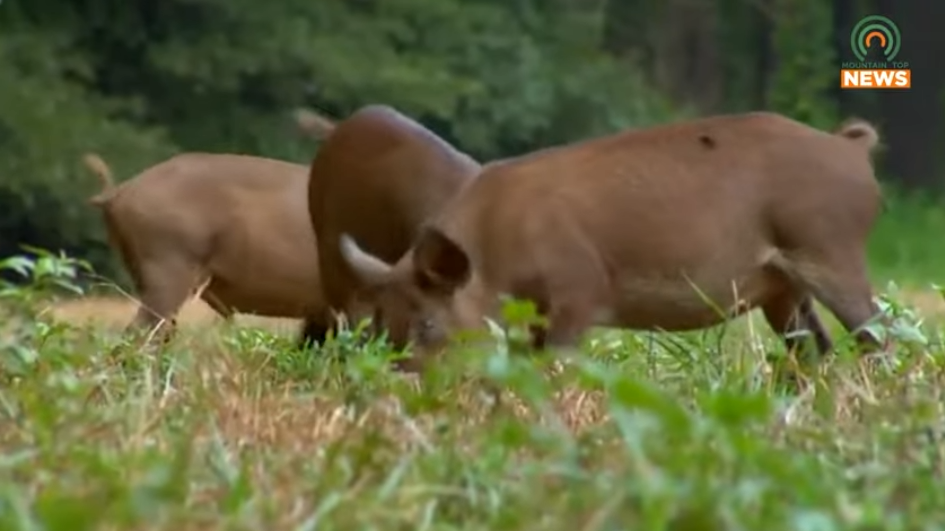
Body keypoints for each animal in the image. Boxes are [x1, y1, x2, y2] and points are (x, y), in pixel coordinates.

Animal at [337, 112, 888, 367]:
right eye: (380, 325)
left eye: (429, 324)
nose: (400, 382)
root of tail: (850, 147)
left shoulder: (581, 289)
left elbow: (559, 362)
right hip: (782, 287)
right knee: (817, 347)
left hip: (831, 249)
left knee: (879, 333)